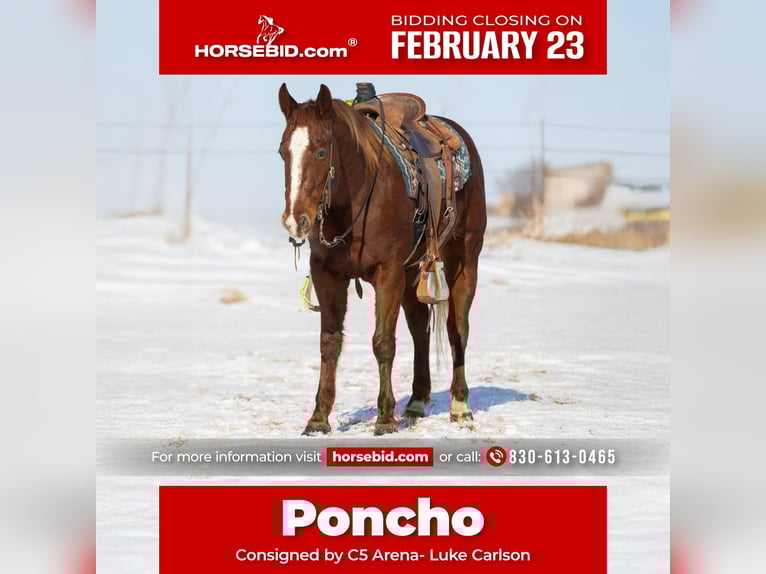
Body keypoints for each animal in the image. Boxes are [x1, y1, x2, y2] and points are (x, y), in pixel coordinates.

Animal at [278, 83, 486, 435]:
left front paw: (385, 419)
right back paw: (416, 402)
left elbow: (383, 342)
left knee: (457, 328)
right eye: (283, 152)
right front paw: (319, 418)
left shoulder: (387, 274)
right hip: (413, 272)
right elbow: (329, 343)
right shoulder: (326, 275)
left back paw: (460, 405)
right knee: (419, 328)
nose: (296, 220)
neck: (359, 196)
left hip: (464, 259)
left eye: (320, 152)